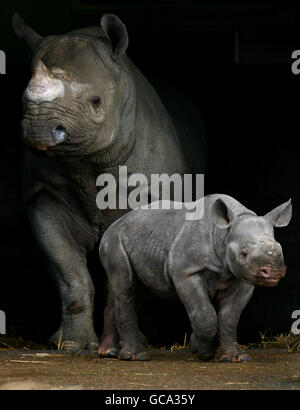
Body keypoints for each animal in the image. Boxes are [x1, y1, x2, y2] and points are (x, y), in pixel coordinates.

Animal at [99, 194, 292, 360]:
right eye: (244, 254)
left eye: (280, 248)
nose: (274, 271)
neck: (223, 234)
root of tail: (115, 223)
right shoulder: (186, 272)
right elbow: (205, 315)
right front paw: (202, 351)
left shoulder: (243, 279)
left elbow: (229, 317)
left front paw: (235, 357)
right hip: (114, 239)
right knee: (125, 288)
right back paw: (134, 356)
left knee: (139, 291)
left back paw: (108, 351)